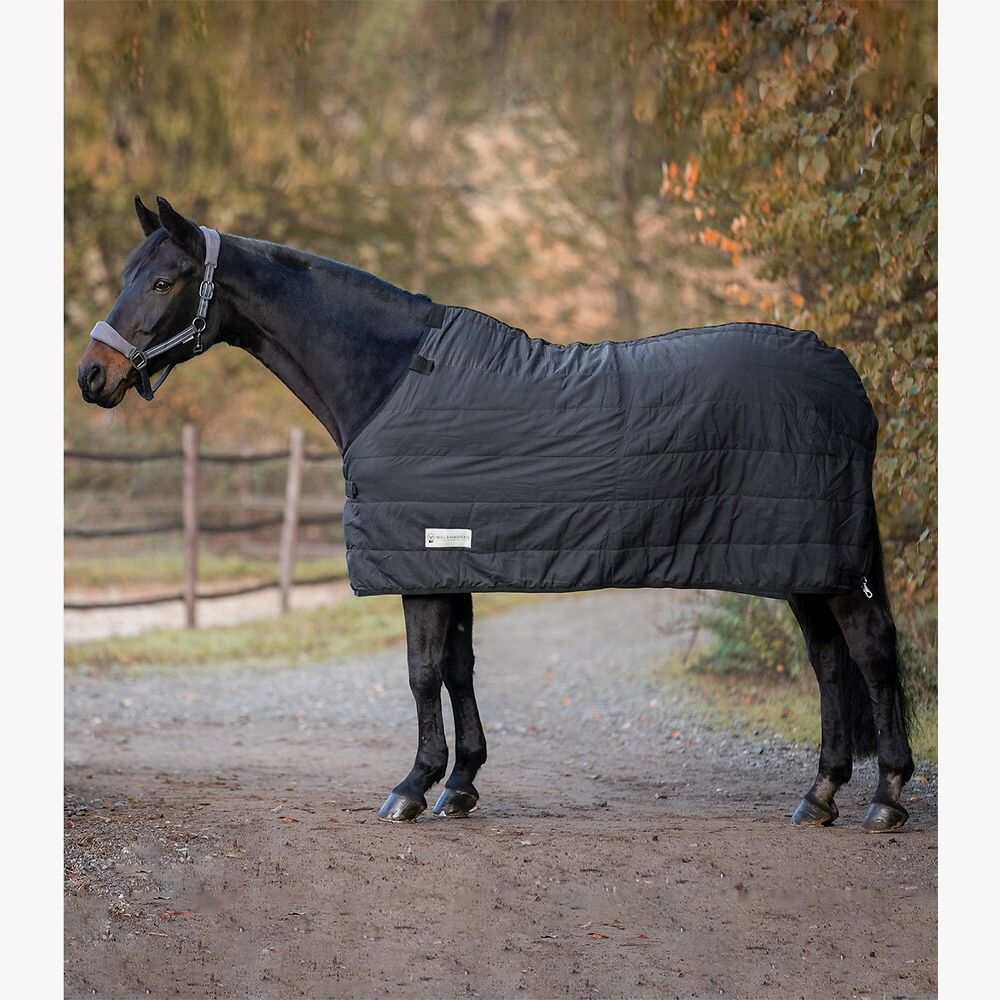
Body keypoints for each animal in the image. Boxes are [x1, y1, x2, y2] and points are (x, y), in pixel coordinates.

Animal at [76, 196, 915, 832]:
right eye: (129, 274)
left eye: (164, 280)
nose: (91, 376)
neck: (391, 379)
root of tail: (848, 380)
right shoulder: (448, 556)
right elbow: (458, 667)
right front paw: (461, 784)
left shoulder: (418, 557)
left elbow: (421, 672)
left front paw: (413, 786)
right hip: (803, 564)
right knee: (829, 660)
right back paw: (821, 794)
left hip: (821, 563)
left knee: (870, 649)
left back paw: (887, 797)